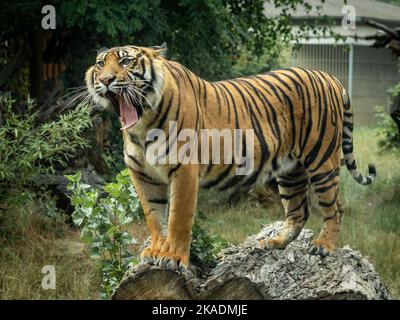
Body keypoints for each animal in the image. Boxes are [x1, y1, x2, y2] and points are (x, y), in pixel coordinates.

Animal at [86, 43, 376, 272]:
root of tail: (330, 76)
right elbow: (154, 217)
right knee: (298, 211)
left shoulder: (184, 170)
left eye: (126, 61)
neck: (142, 126)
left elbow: (178, 218)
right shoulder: (143, 174)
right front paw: (155, 252)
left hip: (322, 160)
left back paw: (323, 246)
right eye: (101, 64)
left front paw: (173, 258)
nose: (106, 80)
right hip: (290, 171)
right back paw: (274, 242)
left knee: (335, 207)